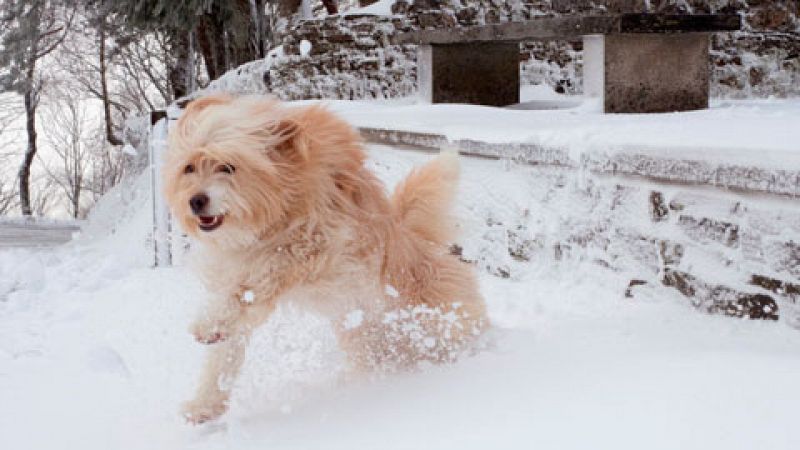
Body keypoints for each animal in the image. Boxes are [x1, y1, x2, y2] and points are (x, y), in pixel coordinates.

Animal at [162, 93, 488, 424]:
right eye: (189, 167)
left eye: (228, 167)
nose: (196, 201)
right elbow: (226, 347)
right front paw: (205, 403)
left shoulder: (317, 243)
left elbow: (261, 276)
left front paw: (209, 323)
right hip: (369, 339)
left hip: (438, 319)